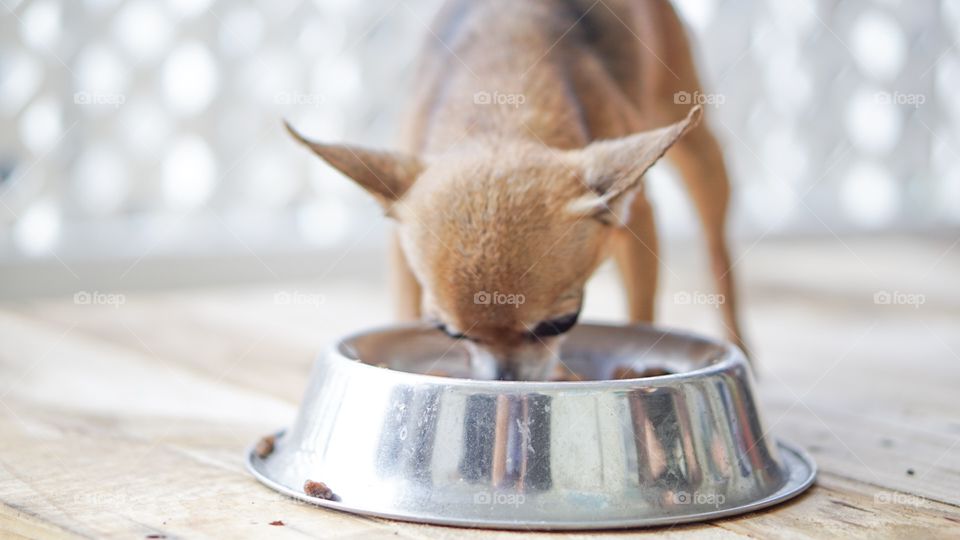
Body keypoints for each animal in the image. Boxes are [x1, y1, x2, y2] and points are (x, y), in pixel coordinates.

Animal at [284, 0, 744, 380]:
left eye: (562, 323)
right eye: (447, 332)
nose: (504, 381)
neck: (502, 110)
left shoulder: (635, 222)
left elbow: (641, 315)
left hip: (697, 148)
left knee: (718, 251)